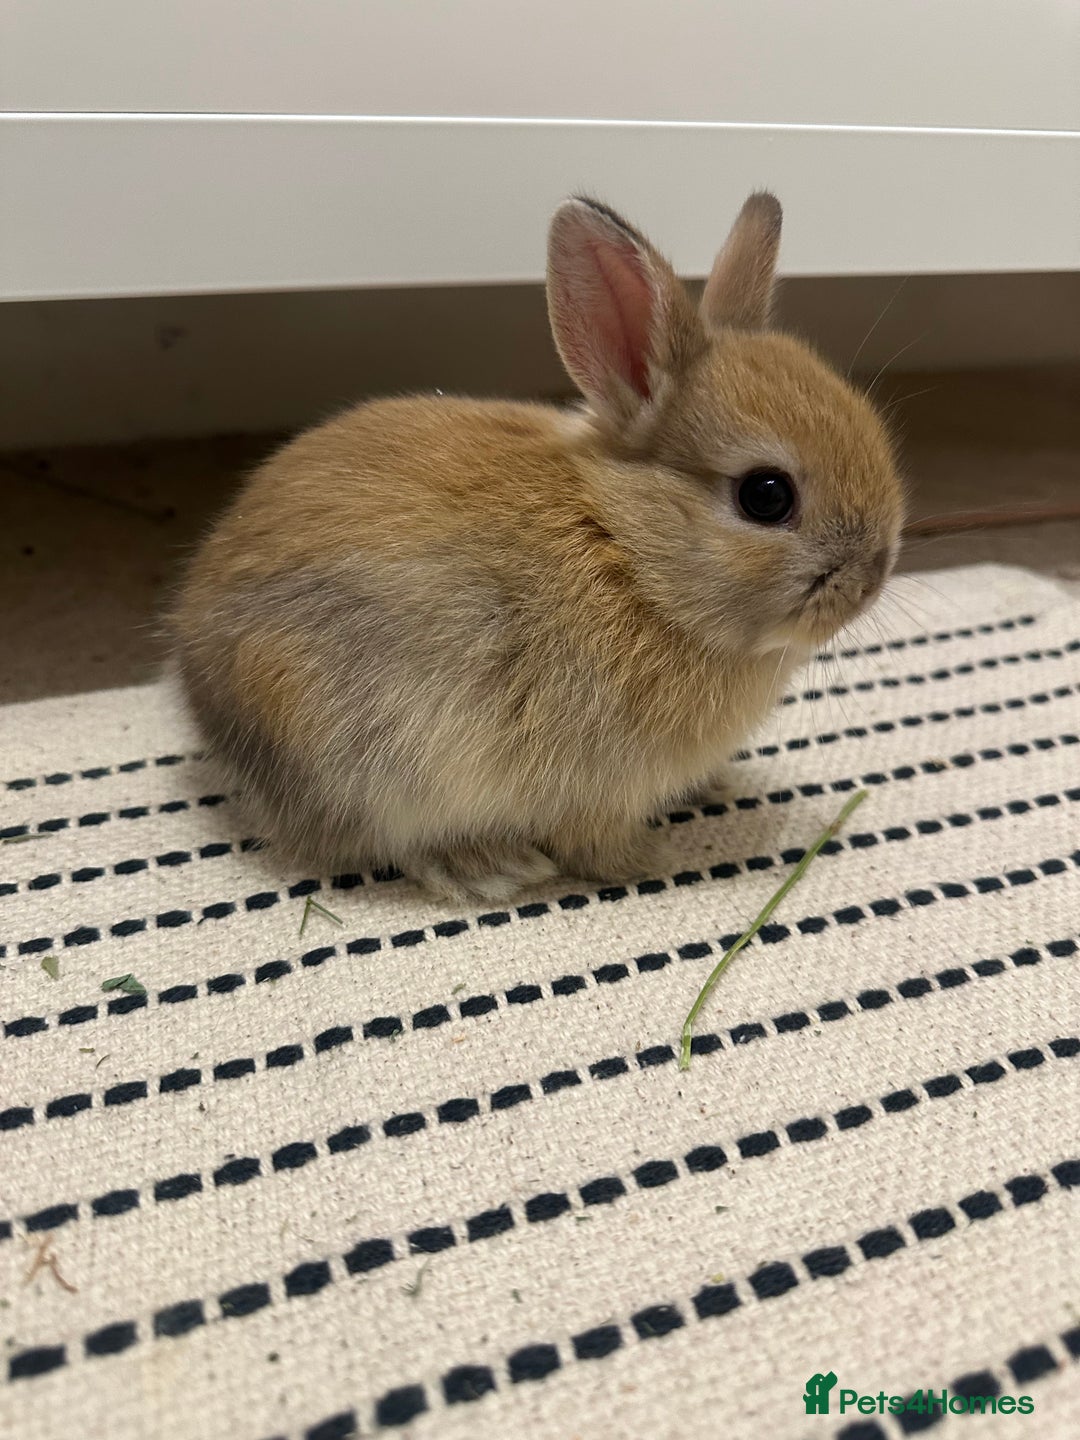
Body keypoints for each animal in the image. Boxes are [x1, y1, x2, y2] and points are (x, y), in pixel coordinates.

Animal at [171, 191, 903, 903]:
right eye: (766, 496)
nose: (873, 578)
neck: (629, 557)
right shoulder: (592, 786)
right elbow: (593, 847)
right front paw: (655, 860)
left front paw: (715, 787)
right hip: (364, 759)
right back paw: (487, 866)